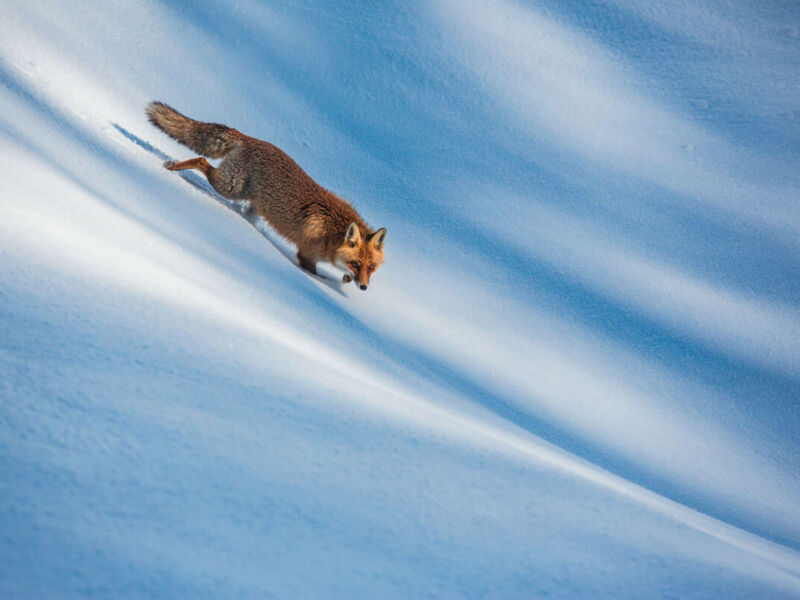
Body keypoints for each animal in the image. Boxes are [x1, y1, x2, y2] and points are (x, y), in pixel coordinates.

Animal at [151, 102, 390, 290]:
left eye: (370, 267)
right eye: (356, 263)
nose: (364, 287)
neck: (331, 231)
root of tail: (250, 138)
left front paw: (345, 280)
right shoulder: (306, 256)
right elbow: (320, 277)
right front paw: (334, 283)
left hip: (253, 203)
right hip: (230, 187)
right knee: (201, 160)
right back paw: (173, 166)